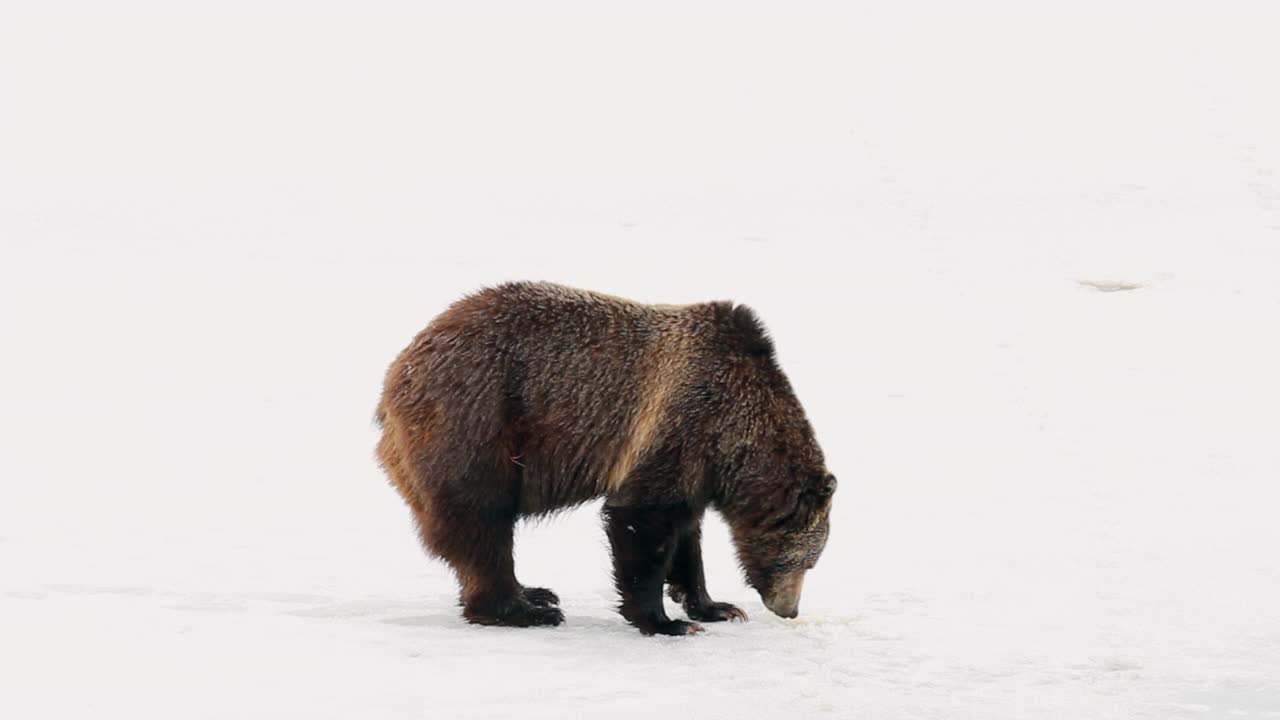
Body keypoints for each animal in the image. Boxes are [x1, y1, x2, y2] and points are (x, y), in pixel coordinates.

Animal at [373, 280, 834, 632]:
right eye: (808, 561)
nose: (789, 609)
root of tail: (397, 371)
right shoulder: (683, 418)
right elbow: (641, 518)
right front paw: (666, 622)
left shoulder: (698, 460)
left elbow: (687, 534)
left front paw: (716, 606)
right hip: (476, 421)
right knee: (482, 524)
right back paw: (521, 609)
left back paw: (534, 592)